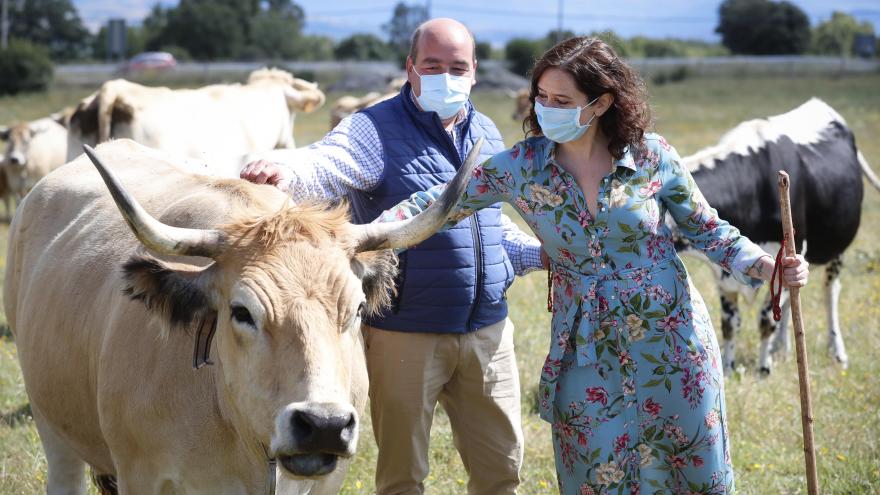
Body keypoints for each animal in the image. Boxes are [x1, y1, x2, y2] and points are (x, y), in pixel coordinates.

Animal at [672, 97, 876, 376]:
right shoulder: (723, 275)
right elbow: (730, 324)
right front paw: (729, 367)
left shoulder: (786, 254)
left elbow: (766, 319)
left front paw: (763, 368)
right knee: (792, 301)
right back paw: (784, 347)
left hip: (835, 247)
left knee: (829, 293)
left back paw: (837, 352)